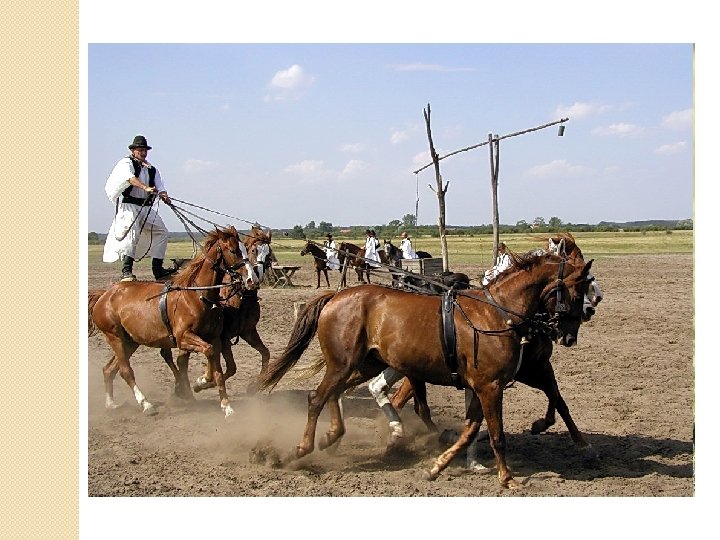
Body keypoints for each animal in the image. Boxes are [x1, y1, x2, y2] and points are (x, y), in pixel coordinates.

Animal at [88, 226, 258, 420]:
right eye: (233, 250)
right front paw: (202, 380)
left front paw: (226, 406)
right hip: (114, 337)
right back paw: (146, 404)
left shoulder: (214, 338)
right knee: (125, 371)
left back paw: (111, 404)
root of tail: (105, 295)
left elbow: (217, 368)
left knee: (109, 369)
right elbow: (208, 352)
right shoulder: (183, 337)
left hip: (130, 341)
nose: (252, 280)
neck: (197, 295)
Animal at [256, 253, 592, 490]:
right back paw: (303, 448)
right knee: (317, 398)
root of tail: (335, 297)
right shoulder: (490, 386)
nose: (569, 335)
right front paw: (507, 478)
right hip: (343, 364)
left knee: (336, 394)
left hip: (365, 365)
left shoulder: (483, 386)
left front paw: (438, 466)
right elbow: (496, 435)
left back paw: (333, 436)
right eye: (577, 293)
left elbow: (471, 429)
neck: (497, 314)